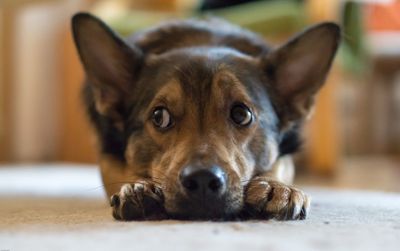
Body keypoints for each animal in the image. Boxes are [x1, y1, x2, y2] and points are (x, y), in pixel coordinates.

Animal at [72, 12, 340, 221]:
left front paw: (276, 187)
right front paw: (140, 187)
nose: (202, 180)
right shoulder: (107, 154)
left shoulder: (286, 152)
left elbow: (278, 165)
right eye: (159, 117)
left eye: (241, 114)